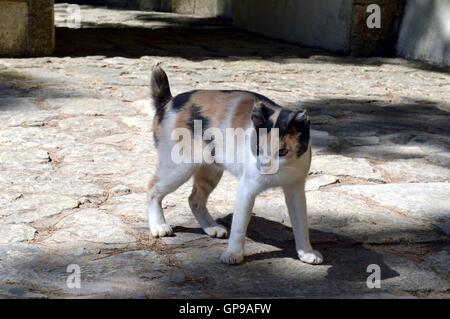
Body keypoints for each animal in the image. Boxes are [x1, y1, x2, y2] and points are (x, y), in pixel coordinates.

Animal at [146, 65, 322, 264]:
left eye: (283, 152)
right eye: (258, 148)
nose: (264, 167)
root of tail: (169, 101)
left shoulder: (295, 190)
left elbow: (301, 224)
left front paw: (306, 252)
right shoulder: (247, 189)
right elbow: (239, 226)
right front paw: (234, 254)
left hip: (210, 172)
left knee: (194, 200)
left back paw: (212, 227)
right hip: (179, 168)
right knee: (153, 189)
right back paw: (159, 225)